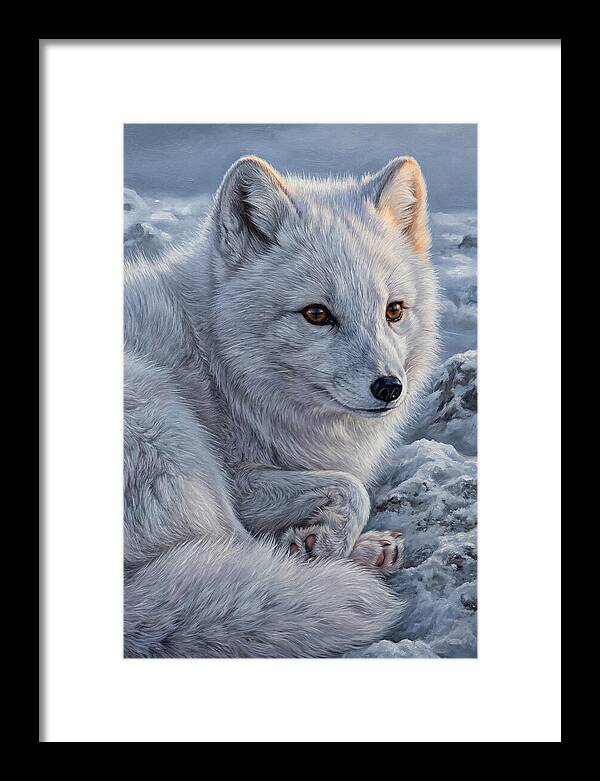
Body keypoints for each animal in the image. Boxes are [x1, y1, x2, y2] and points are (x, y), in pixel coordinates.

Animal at [124, 154, 439, 658]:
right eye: (316, 314)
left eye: (394, 310)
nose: (390, 388)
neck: (217, 363)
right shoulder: (239, 480)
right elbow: (353, 487)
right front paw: (324, 544)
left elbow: (346, 487)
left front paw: (323, 539)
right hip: (166, 424)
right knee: (239, 552)